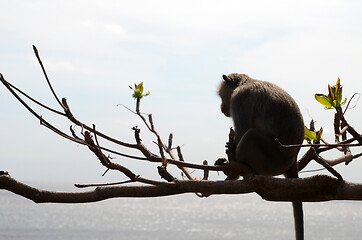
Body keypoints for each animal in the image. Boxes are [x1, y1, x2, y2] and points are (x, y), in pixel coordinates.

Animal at [218, 73, 306, 240]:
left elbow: (242, 129)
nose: (221, 107)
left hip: (272, 160)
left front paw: (230, 157)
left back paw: (237, 170)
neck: (246, 82)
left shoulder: (240, 99)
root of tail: (292, 160)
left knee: (250, 135)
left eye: (221, 97)